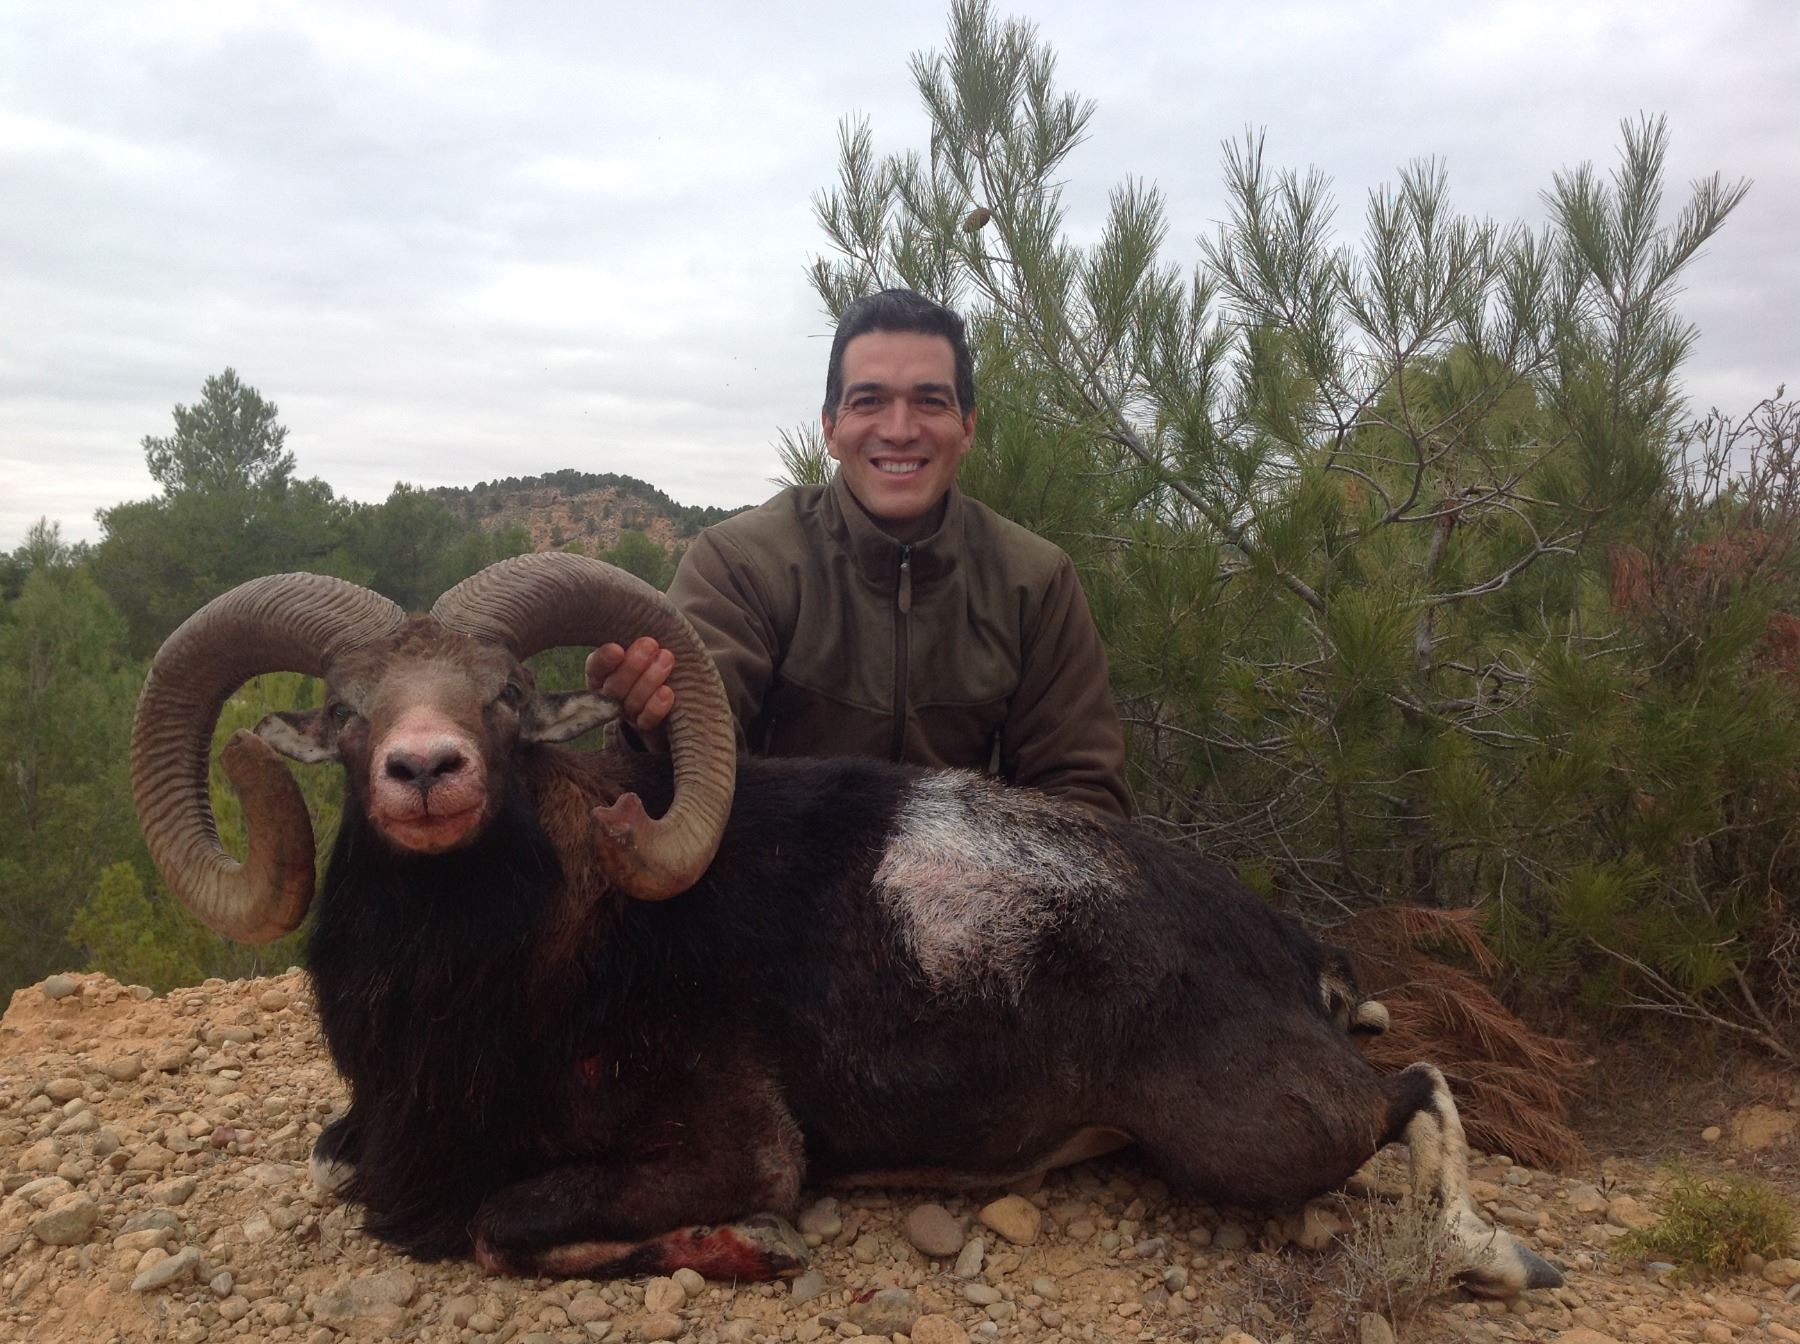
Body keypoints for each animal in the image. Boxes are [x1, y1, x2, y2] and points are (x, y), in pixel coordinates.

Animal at [130, 551, 1562, 1296]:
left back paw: (1497, 1261)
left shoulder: (734, 1142)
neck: (532, 970)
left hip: (1250, 1137)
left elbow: (505, 1222)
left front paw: (739, 1248)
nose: (425, 772)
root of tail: (1288, 953)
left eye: (506, 700)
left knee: (1416, 1090)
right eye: (347, 711)